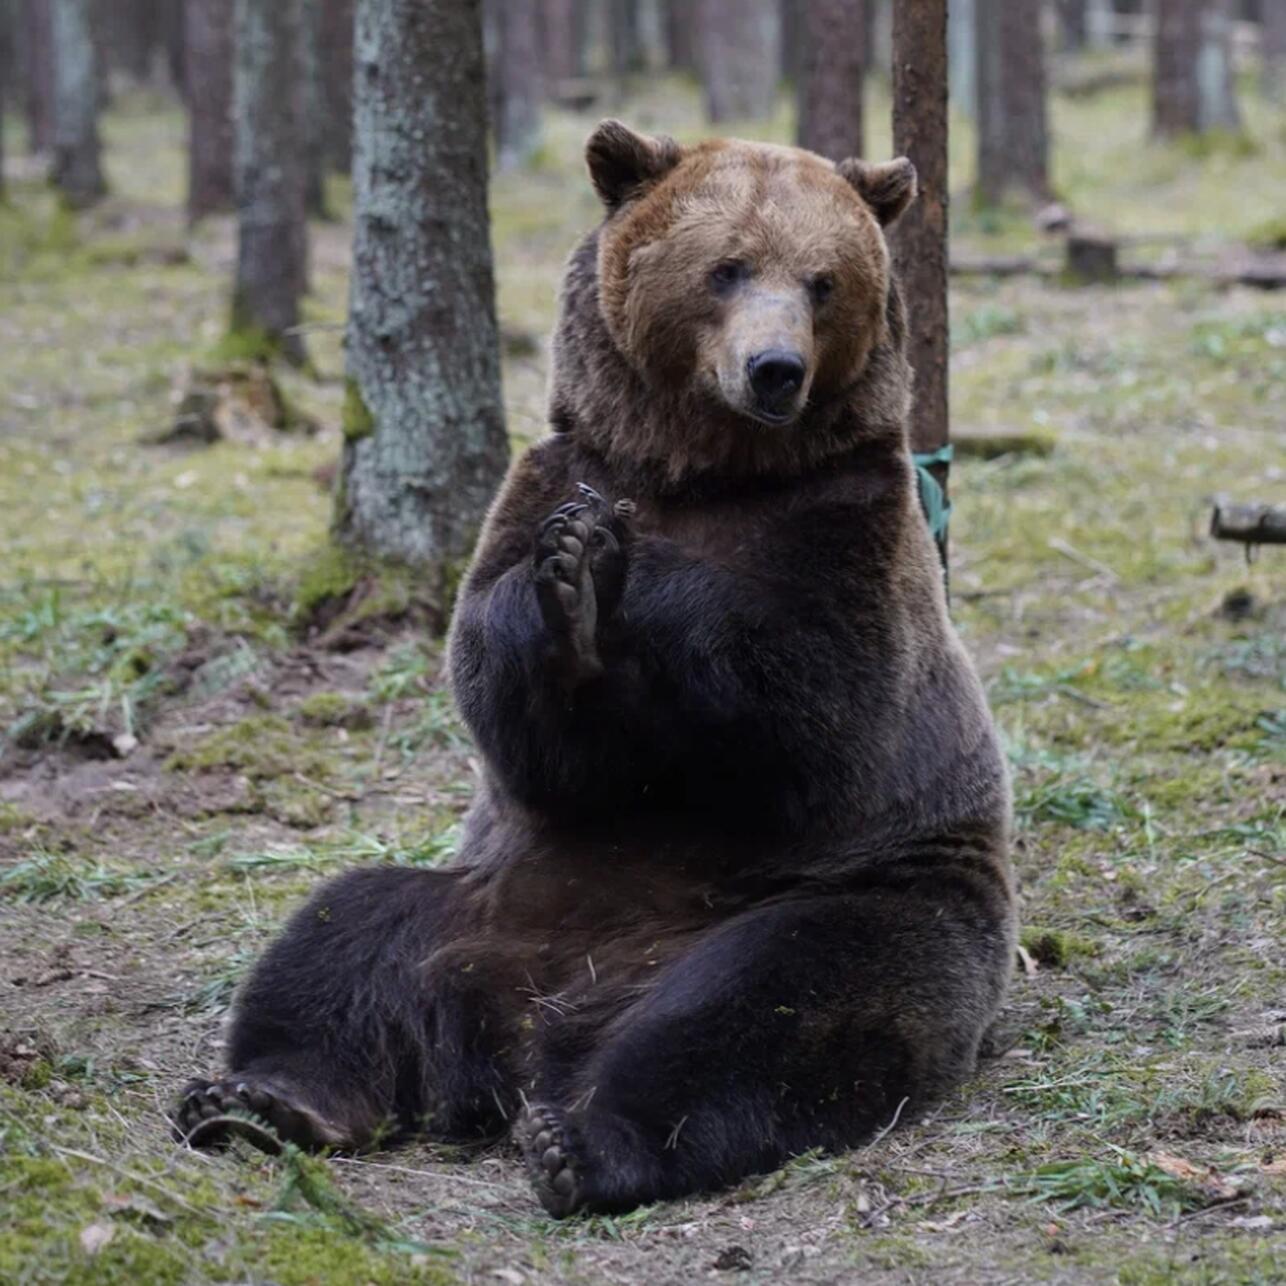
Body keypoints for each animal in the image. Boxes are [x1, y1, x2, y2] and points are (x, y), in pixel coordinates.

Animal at [174, 120, 1016, 1219]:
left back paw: (583, 1140)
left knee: (768, 1008)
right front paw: (570, 572)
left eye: (823, 280)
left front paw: (617, 578)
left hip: (857, 896)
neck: (702, 471)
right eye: (727, 266)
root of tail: (520, 1032)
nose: (775, 368)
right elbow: (506, 695)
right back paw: (256, 1099)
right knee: (338, 942)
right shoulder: (546, 479)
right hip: (482, 894)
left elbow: (813, 705)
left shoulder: (850, 530)